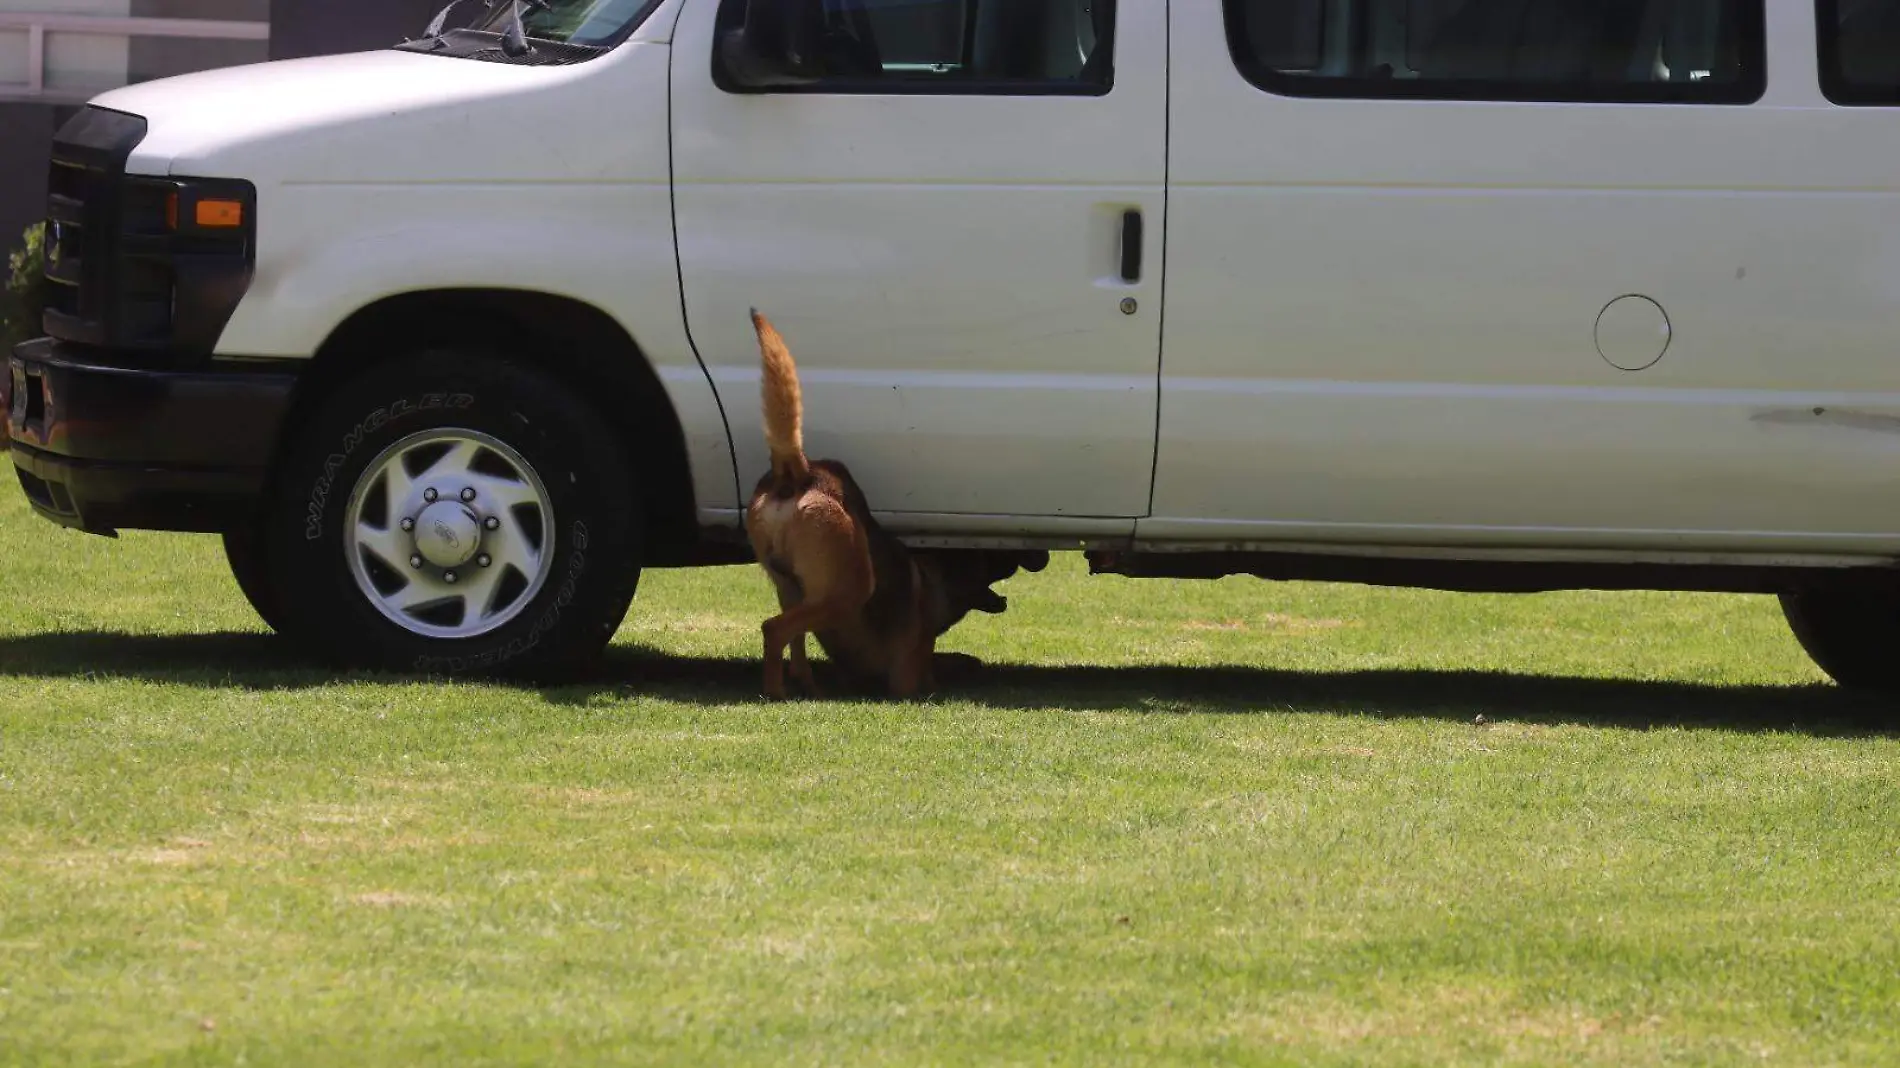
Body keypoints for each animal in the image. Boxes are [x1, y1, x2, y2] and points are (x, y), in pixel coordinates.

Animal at [741, 307, 1048, 699]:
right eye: (987, 558)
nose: (1037, 557)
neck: (932, 575)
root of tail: (800, 470)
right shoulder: (908, 676)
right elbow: (932, 676)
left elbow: (960, 660)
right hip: (848, 590)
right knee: (775, 628)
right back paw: (775, 691)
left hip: (793, 588)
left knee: (793, 638)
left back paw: (806, 685)